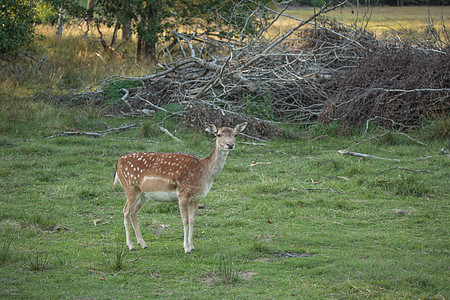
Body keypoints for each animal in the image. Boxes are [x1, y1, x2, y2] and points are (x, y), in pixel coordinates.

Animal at [111, 122, 246, 253]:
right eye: (218, 134)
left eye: (235, 134)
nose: (230, 144)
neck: (205, 173)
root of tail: (118, 162)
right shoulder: (183, 193)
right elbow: (185, 220)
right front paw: (186, 248)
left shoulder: (196, 197)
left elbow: (192, 220)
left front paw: (192, 246)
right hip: (130, 187)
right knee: (126, 211)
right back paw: (131, 246)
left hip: (144, 194)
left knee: (134, 212)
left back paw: (143, 244)